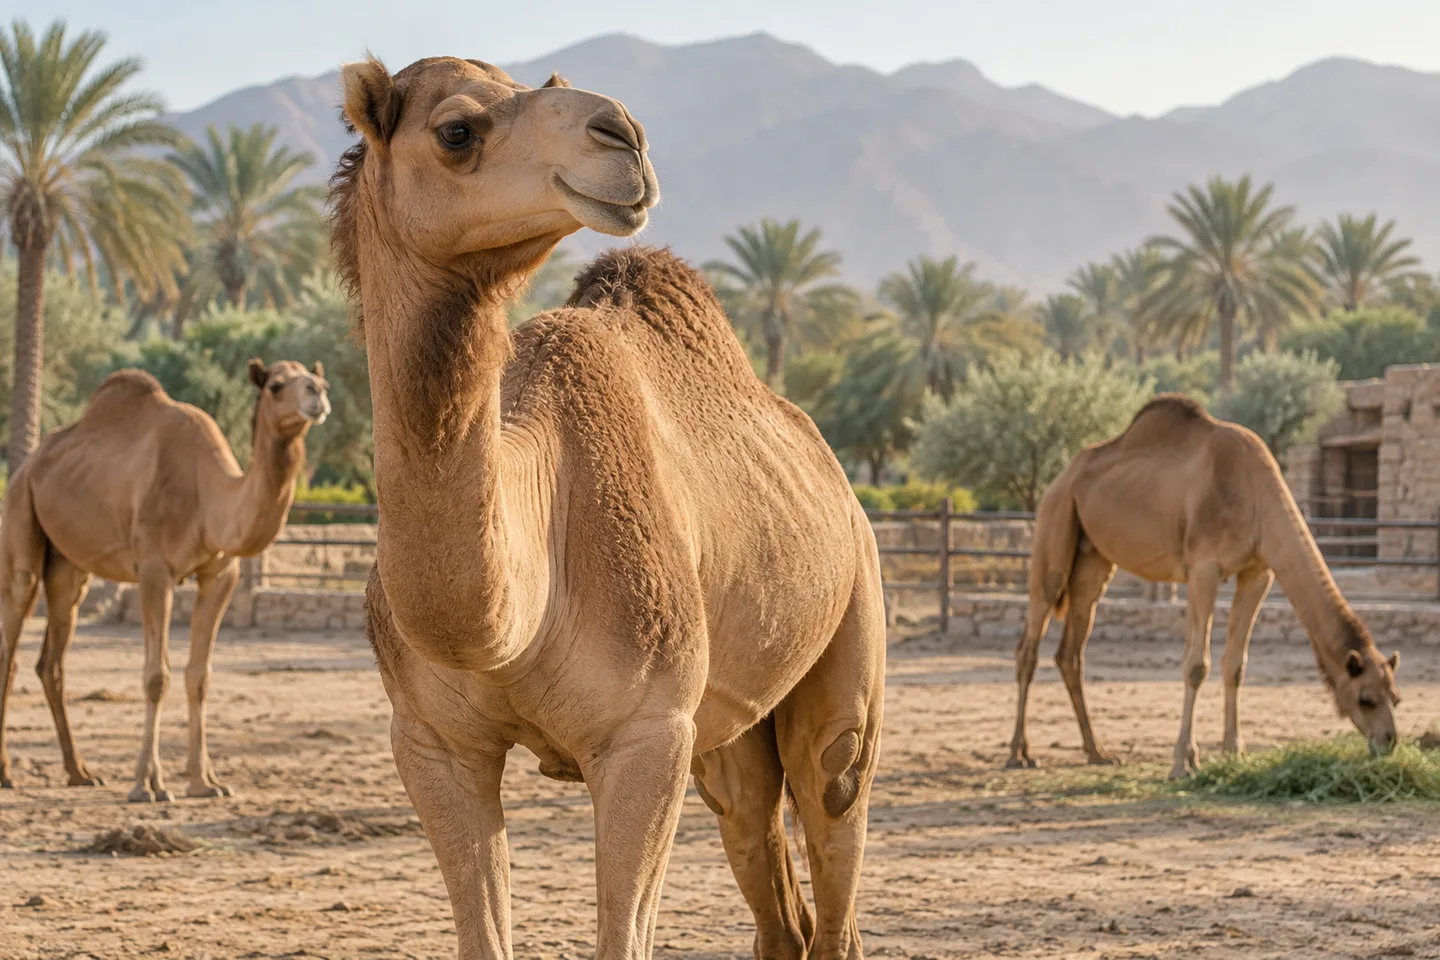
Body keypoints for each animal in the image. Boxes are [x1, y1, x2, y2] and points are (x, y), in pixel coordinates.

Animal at [0, 360, 329, 801]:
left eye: (318, 380)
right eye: (277, 386)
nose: (317, 394)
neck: (209, 498)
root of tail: (27, 467)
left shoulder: (220, 574)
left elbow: (199, 675)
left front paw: (205, 782)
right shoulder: (155, 569)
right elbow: (157, 676)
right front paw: (148, 784)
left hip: (68, 567)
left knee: (51, 660)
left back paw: (80, 772)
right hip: (20, 518)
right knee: (12, 639)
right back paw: (7, 773)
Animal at [331, 56, 885, 958]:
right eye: (457, 130)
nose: (622, 132)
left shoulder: (645, 734)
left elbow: (624, 935)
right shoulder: (432, 743)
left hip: (852, 615)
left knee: (833, 796)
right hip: (725, 727)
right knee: (758, 839)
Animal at [1008, 395, 1402, 779]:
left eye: (1395, 696)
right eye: (1366, 698)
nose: (1390, 741)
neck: (1257, 499)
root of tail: (1062, 478)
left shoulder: (1258, 572)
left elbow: (1236, 664)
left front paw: (1233, 753)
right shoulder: (1203, 569)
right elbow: (1197, 664)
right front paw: (1183, 762)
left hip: (1093, 557)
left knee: (1071, 651)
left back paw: (1098, 752)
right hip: (1055, 524)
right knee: (1031, 640)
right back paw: (1020, 754)